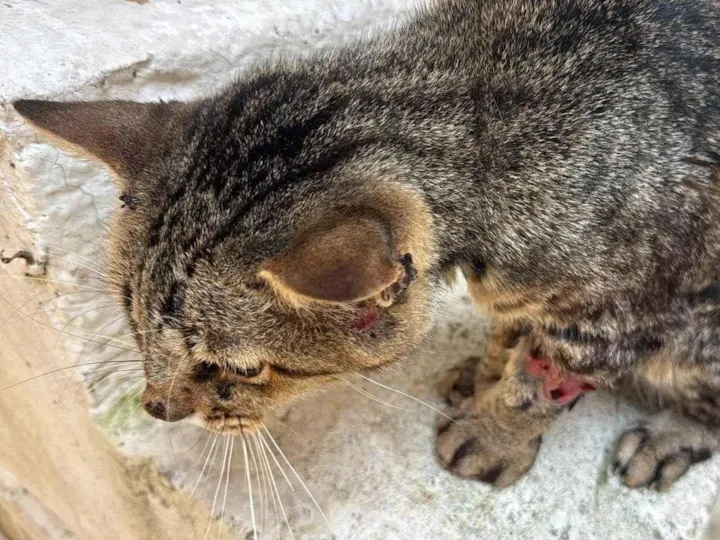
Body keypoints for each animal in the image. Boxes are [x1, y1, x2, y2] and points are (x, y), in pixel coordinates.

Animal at [13, 0, 720, 491]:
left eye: (238, 369)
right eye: (133, 327)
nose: (158, 408)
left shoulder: (612, 319)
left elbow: (537, 387)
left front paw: (493, 432)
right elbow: (510, 335)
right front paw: (485, 372)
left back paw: (666, 439)